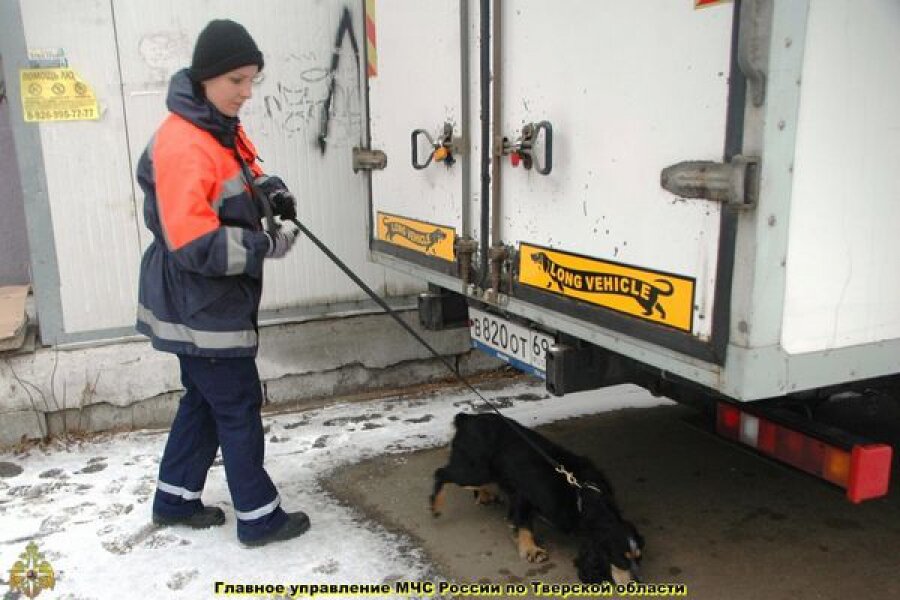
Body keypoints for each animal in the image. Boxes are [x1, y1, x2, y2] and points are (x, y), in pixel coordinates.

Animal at [428, 410, 640, 584]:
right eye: (621, 559)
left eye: (639, 557)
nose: (636, 583)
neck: (583, 493)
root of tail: (466, 419)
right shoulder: (523, 495)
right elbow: (523, 524)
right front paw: (532, 550)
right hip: (475, 470)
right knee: (441, 473)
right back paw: (435, 507)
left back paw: (485, 494)